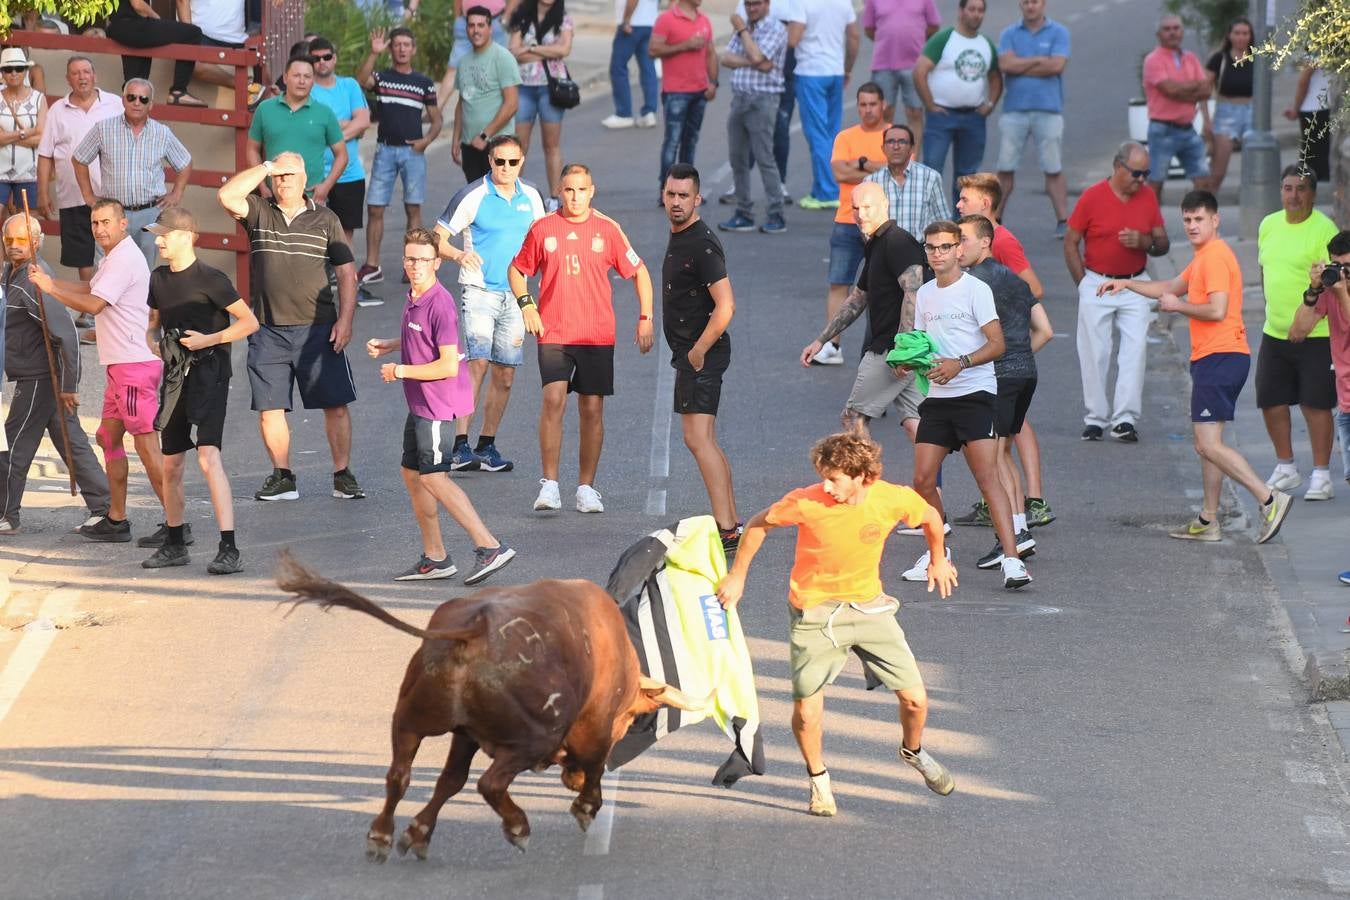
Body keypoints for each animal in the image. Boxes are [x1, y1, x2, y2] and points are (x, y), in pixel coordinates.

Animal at [270, 553, 702, 863]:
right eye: (628, 719)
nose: (571, 779)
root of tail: (474, 628)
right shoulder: (592, 726)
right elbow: (595, 764)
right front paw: (585, 806)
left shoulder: (465, 735)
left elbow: (450, 781)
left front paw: (417, 834)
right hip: (531, 740)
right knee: (490, 783)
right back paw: (519, 827)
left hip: (410, 720)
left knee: (400, 775)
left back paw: (381, 835)